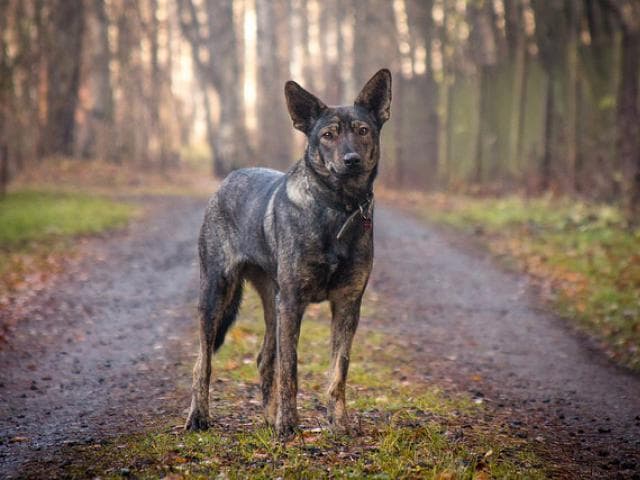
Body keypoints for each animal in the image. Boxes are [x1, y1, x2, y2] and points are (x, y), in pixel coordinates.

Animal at [186, 69, 390, 436]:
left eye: (363, 131)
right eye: (327, 135)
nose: (351, 160)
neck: (337, 208)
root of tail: (229, 178)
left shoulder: (347, 304)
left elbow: (339, 370)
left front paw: (339, 422)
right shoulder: (293, 302)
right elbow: (290, 369)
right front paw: (288, 425)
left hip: (272, 303)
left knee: (264, 358)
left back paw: (267, 417)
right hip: (216, 294)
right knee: (202, 361)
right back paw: (199, 416)